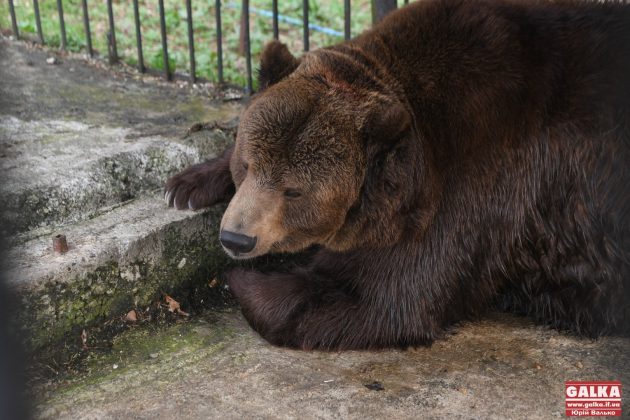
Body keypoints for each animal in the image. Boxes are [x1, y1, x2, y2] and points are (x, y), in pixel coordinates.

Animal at [164, 0, 630, 350]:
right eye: (248, 165)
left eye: (294, 191)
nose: (236, 238)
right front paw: (188, 183)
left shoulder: (475, 188)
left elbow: (385, 300)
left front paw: (246, 279)